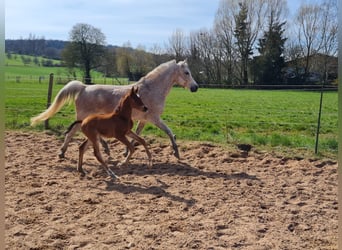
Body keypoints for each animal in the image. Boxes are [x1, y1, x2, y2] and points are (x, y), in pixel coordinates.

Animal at [32, 59, 199, 158]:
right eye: (186, 72)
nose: (195, 87)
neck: (151, 90)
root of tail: (84, 87)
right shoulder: (154, 119)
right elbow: (169, 132)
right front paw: (176, 152)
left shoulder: (143, 120)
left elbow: (136, 135)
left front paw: (126, 151)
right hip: (83, 118)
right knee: (72, 132)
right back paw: (62, 152)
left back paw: (106, 149)